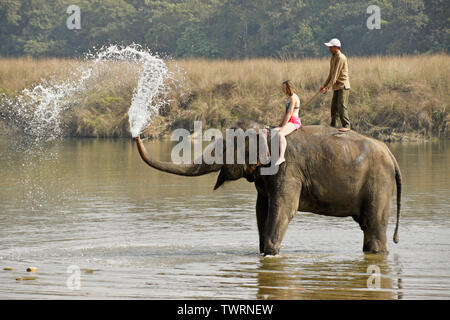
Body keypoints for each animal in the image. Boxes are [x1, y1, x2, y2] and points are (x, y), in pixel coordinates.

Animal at [134, 119, 400, 256]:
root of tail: (391, 155)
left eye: (225, 148)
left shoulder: (287, 168)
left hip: (379, 182)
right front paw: (261, 253)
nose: (137, 134)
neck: (267, 130)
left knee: (374, 226)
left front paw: (271, 254)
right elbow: (261, 209)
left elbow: (283, 208)